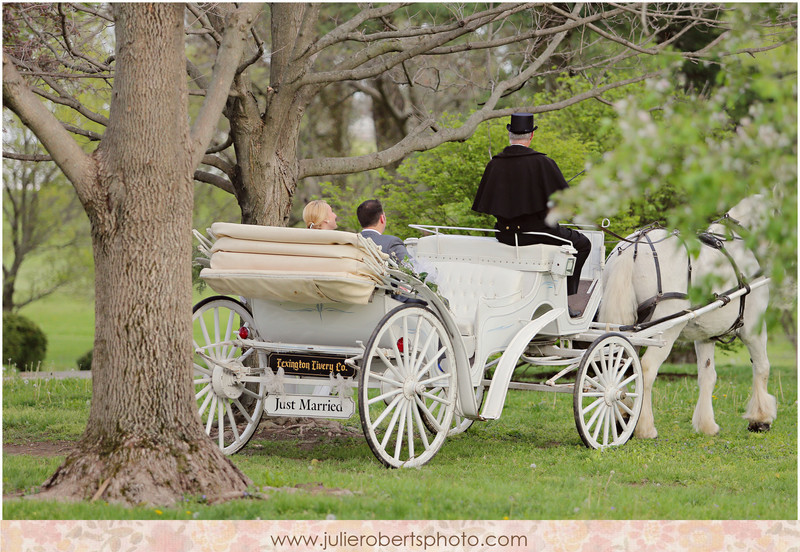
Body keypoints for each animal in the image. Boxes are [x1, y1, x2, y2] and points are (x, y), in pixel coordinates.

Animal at [600, 196, 776, 438]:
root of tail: (633, 247)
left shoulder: (706, 336)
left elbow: (708, 376)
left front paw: (706, 425)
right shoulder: (753, 328)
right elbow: (762, 367)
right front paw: (760, 419)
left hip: (629, 328)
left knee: (621, 365)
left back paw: (624, 417)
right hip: (665, 330)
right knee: (646, 369)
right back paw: (645, 427)